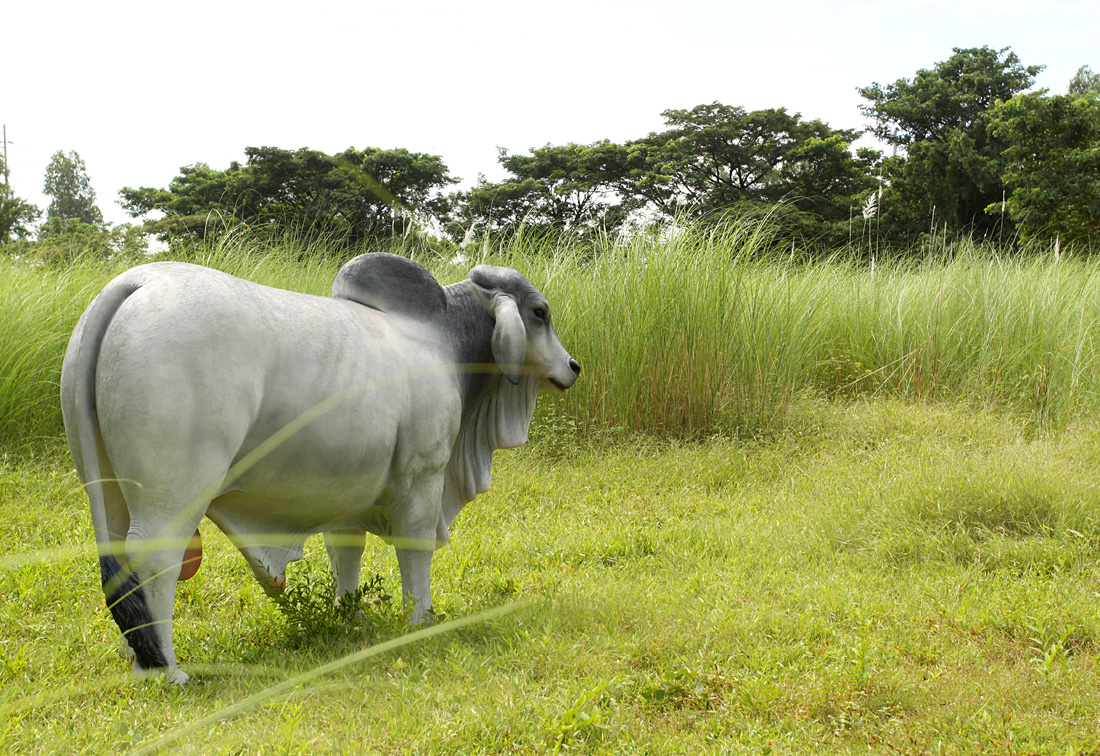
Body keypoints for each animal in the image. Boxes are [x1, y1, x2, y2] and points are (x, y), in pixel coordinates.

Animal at [59, 254, 580, 686]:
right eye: (539, 312)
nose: (573, 367)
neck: (445, 340)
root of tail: (136, 281)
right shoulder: (423, 479)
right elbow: (415, 551)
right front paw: (421, 621)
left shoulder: (349, 492)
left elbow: (345, 552)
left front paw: (348, 615)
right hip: (173, 493)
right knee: (155, 561)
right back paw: (167, 671)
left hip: (108, 489)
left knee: (120, 568)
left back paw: (137, 661)